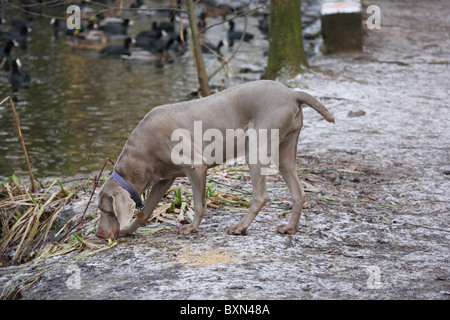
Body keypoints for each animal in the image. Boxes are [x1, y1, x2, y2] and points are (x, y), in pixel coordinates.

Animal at [96, 81, 334, 239]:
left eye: (106, 211)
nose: (99, 235)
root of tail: (292, 93)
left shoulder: (196, 166)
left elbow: (199, 203)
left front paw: (191, 228)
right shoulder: (165, 179)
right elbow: (146, 211)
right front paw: (129, 230)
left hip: (257, 147)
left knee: (261, 196)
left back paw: (240, 227)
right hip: (285, 149)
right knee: (299, 192)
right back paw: (290, 228)